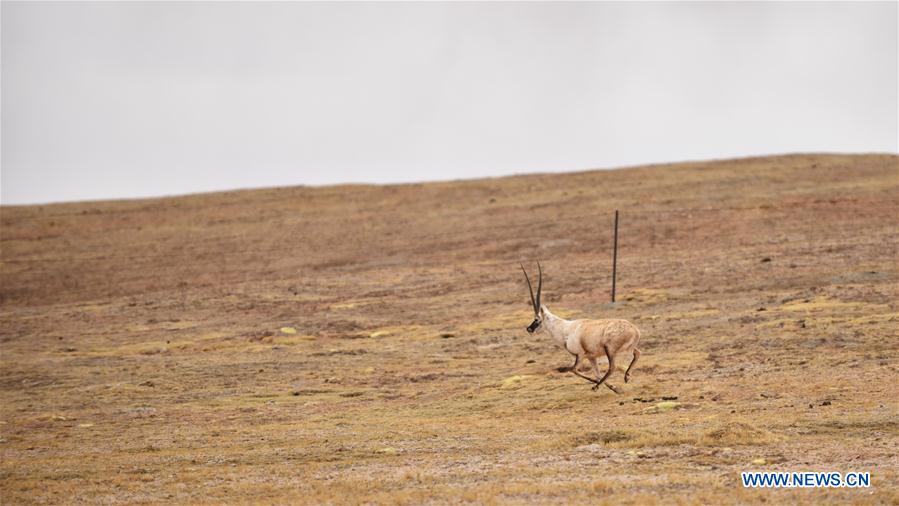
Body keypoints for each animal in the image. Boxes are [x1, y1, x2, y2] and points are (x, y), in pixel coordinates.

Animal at [524, 262, 644, 394]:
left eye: (536, 319)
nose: (529, 329)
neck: (565, 329)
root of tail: (635, 330)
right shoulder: (591, 357)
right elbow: (597, 374)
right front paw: (613, 388)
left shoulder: (580, 355)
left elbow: (574, 370)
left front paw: (598, 385)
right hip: (627, 348)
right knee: (637, 353)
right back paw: (626, 376)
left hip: (610, 349)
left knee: (612, 367)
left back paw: (599, 385)